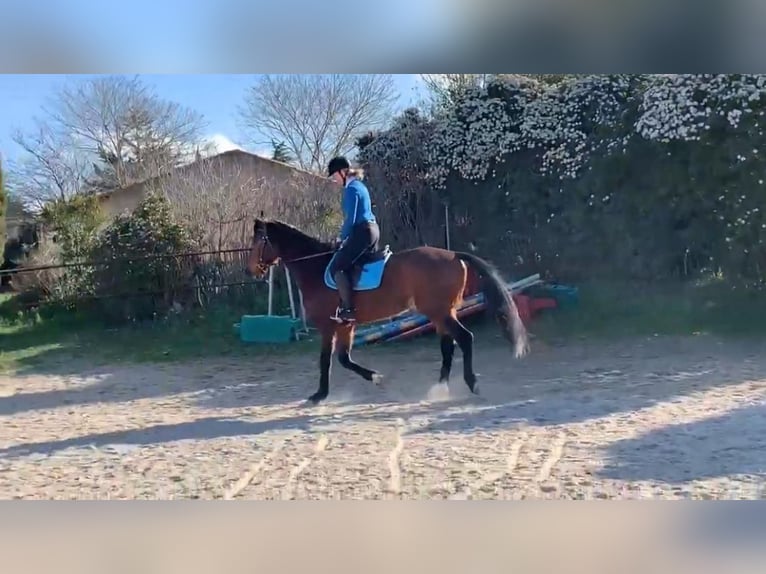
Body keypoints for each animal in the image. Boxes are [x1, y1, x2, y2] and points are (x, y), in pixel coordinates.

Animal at [245, 217, 530, 404]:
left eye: (259, 241)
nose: (251, 271)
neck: (315, 266)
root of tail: (453, 255)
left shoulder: (328, 326)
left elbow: (326, 360)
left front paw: (319, 395)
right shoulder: (346, 325)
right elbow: (344, 359)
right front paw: (376, 378)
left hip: (440, 312)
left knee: (465, 339)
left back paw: (472, 384)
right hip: (441, 313)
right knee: (448, 347)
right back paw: (438, 389)